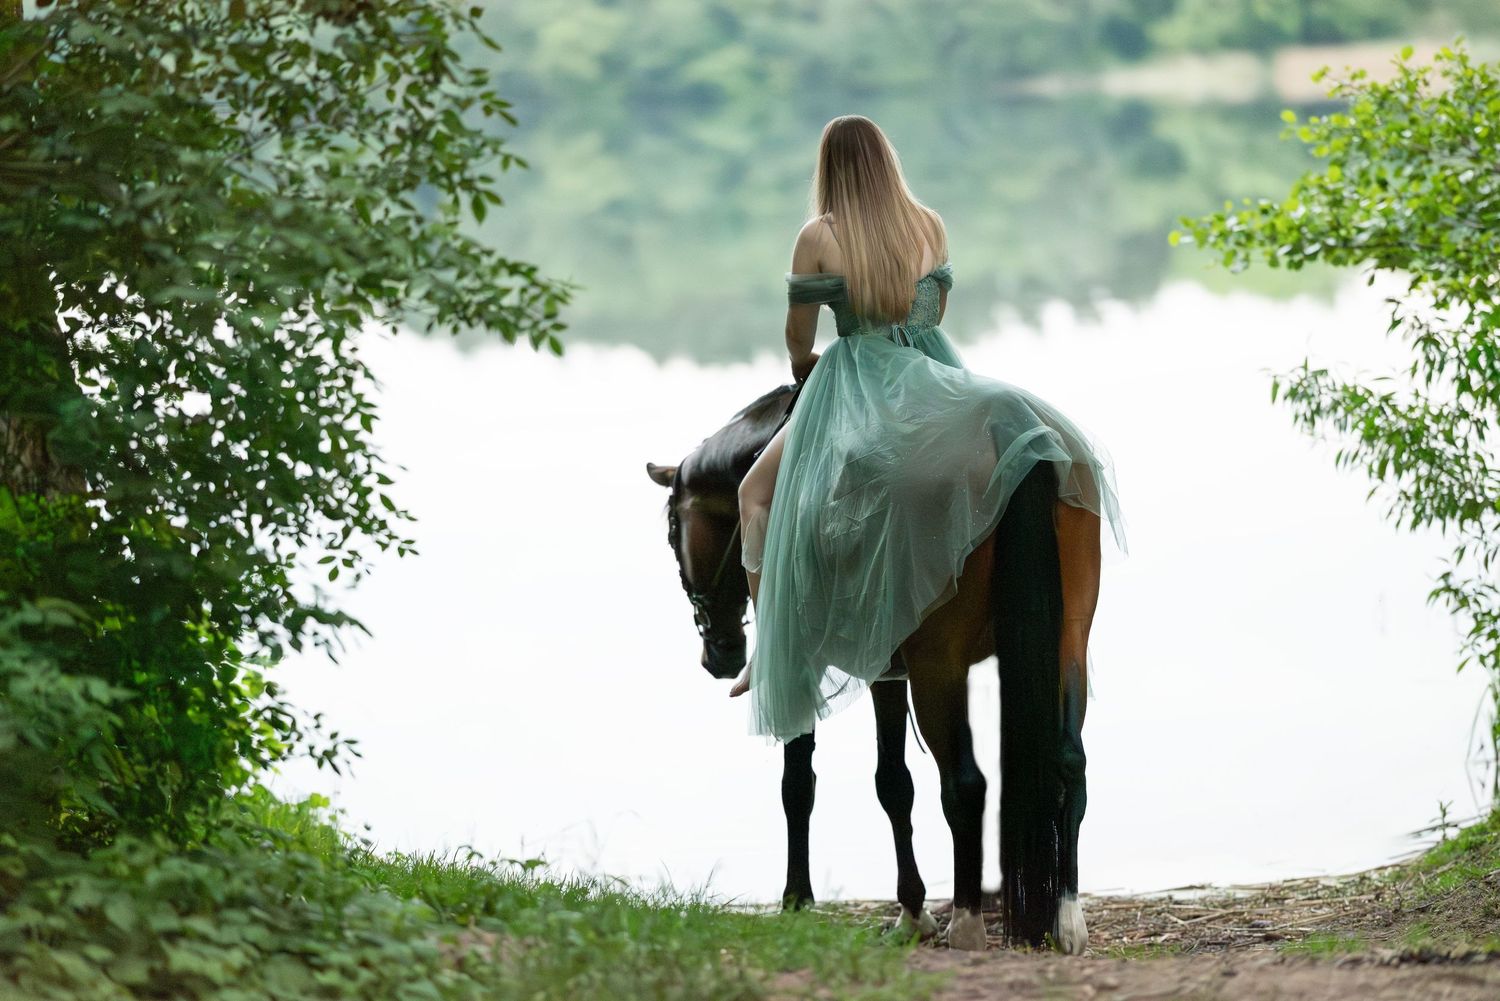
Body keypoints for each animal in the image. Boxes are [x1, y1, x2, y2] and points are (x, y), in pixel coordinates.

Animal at [646, 383, 1101, 953]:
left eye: (671, 533)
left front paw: (797, 899)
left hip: (938, 665)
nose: (719, 653)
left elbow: (798, 784)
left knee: (966, 783)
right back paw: (1067, 918)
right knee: (1069, 763)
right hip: (1067, 645)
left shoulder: (804, 665)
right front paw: (911, 911)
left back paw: (967, 923)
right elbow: (893, 784)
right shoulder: (888, 669)